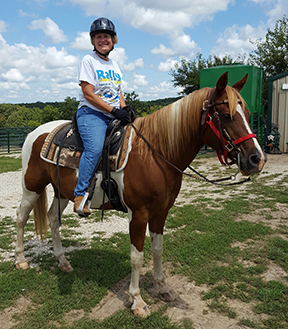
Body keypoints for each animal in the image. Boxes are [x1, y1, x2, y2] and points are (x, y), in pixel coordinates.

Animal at [15, 72, 266, 316]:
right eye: (226, 115)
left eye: (248, 113)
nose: (257, 159)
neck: (155, 154)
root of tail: (35, 133)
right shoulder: (138, 214)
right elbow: (137, 257)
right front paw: (137, 301)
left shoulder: (160, 213)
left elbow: (157, 249)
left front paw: (163, 288)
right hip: (32, 187)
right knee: (21, 217)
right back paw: (21, 260)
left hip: (62, 192)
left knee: (53, 219)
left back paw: (63, 262)